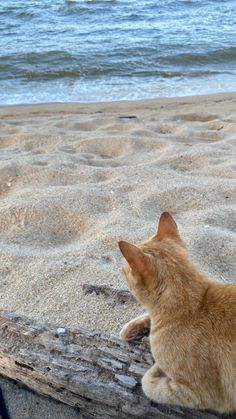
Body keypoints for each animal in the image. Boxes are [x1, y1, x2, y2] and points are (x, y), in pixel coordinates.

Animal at [120, 213, 236, 414]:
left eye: (124, 268)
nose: (120, 268)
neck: (195, 304)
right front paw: (133, 328)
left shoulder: (202, 395)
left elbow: (147, 384)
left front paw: (156, 369)